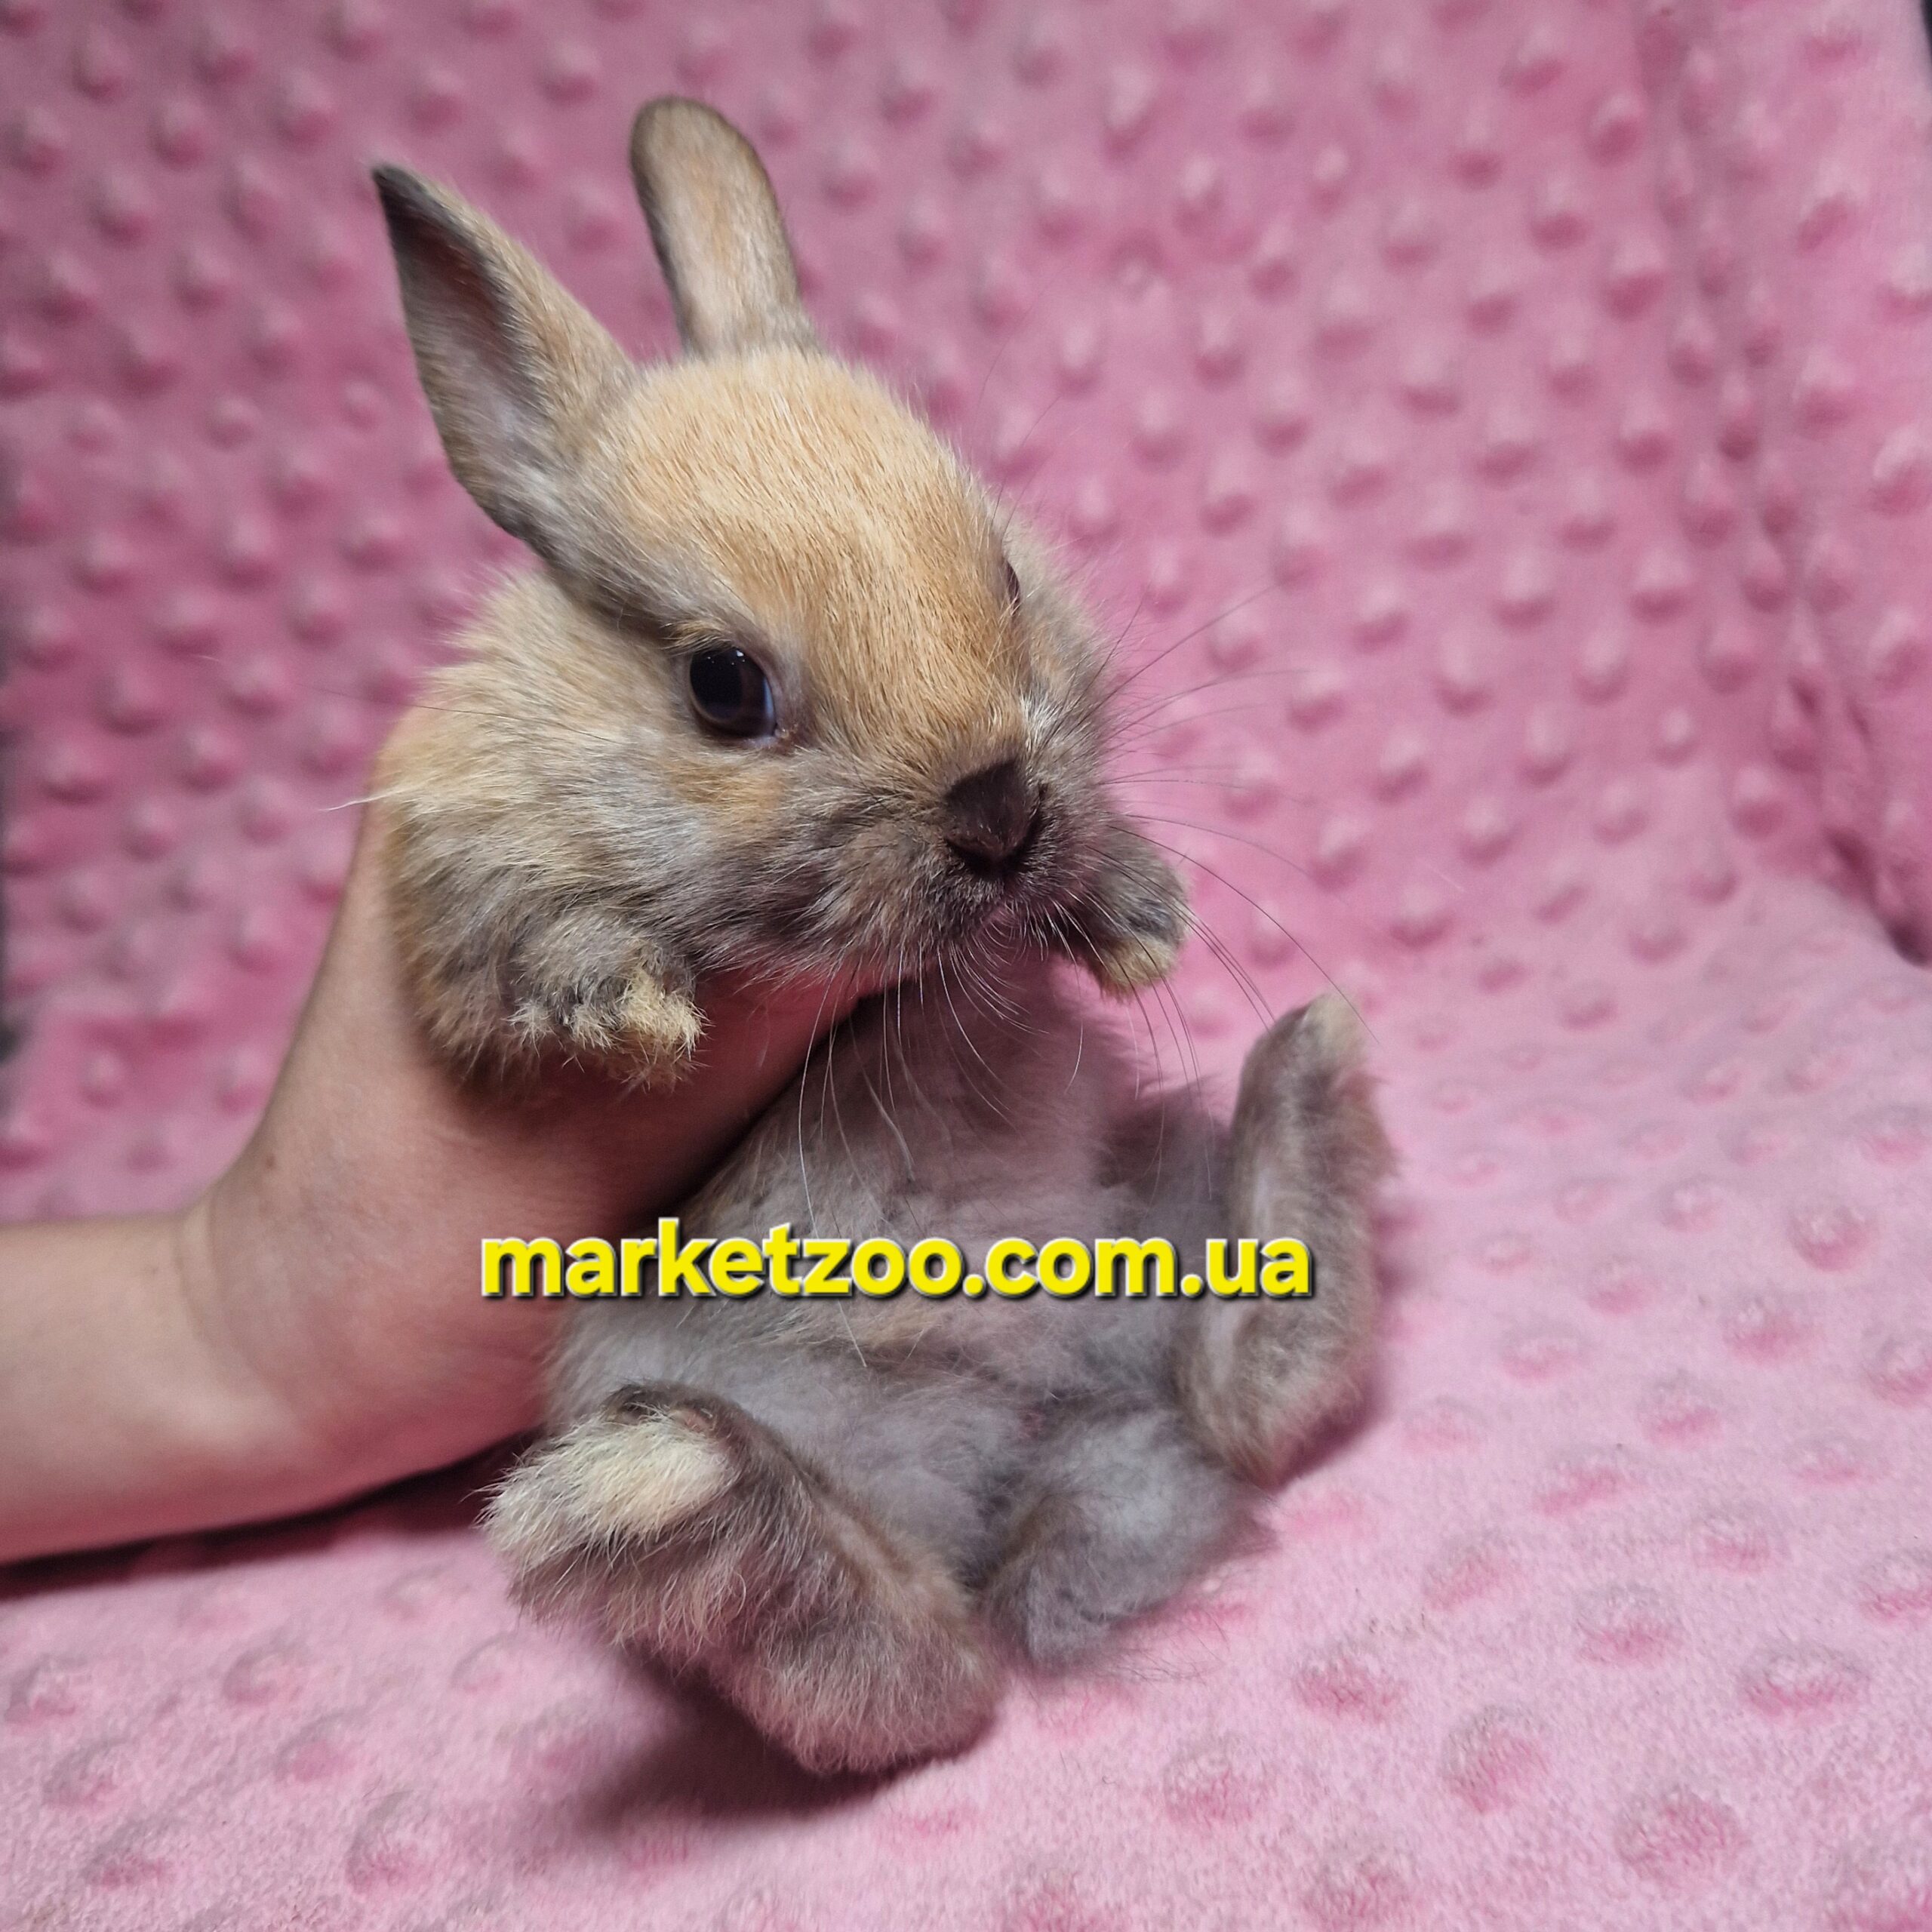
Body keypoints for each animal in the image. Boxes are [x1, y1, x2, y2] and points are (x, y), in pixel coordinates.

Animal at [370, 98, 1393, 1776]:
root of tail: (1027, 1483)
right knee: (918, 1667)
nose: (997, 806)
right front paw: (624, 1006)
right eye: (721, 685)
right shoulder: (450, 884)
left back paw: (1304, 1097)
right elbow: (525, 939)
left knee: (1230, 1408)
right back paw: (667, 1506)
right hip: (692, 1388)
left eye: (1003, 570)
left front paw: (1134, 915)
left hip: (1151, 1208)